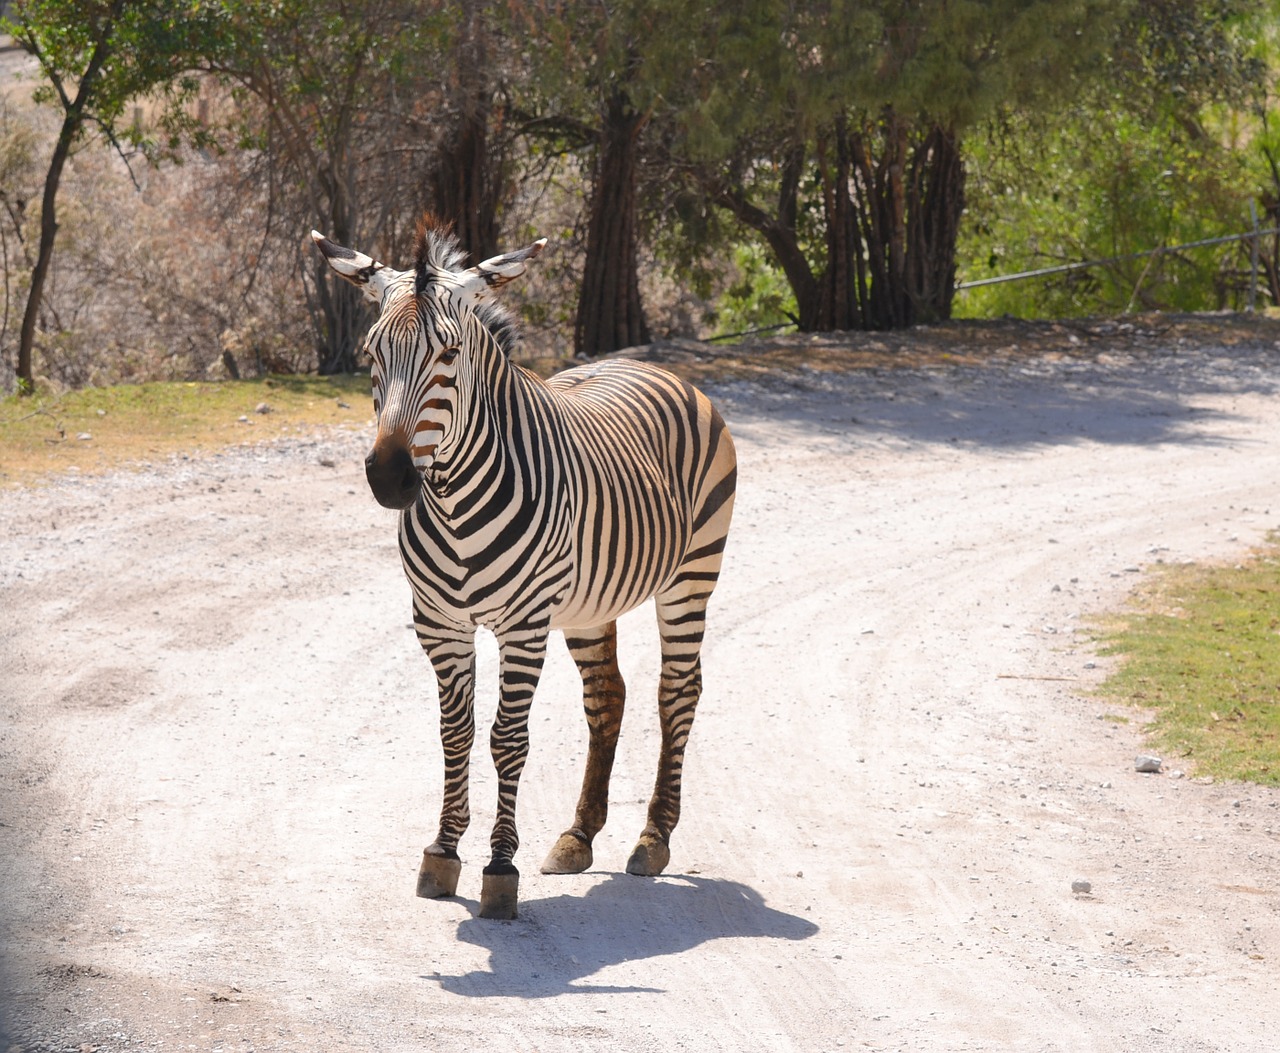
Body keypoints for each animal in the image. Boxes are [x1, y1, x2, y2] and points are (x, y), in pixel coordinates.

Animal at [312, 218, 742, 916]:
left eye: (448, 353)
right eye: (372, 353)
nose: (390, 477)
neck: (455, 502)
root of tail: (646, 362)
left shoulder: (523, 625)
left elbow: (507, 739)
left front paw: (498, 867)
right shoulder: (439, 625)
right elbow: (455, 733)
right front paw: (442, 852)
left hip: (692, 575)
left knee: (678, 691)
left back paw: (653, 838)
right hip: (592, 603)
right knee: (608, 696)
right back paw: (578, 836)